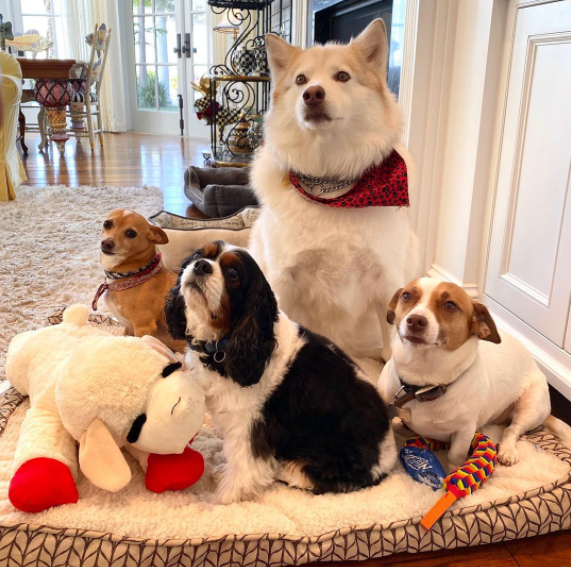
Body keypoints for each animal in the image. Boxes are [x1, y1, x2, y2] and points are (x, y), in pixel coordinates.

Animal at [164, 240, 396, 504]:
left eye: (232, 273)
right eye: (198, 255)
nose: (201, 266)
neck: (228, 343)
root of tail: (388, 458)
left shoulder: (251, 426)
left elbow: (242, 469)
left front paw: (221, 499)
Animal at [249, 19, 419, 361]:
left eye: (342, 76)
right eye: (300, 80)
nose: (312, 94)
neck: (331, 188)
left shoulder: (387, 284)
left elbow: (392, 348)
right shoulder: (282, 282)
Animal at [378, 277, 571, 471]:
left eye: (449, 305)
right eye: (406, 295)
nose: (415, 320)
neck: (423, 384)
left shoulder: (464, 431)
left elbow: (455, 456)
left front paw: (451, 473)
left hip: (530, 406)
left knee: (512, 429)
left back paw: (508, 450)